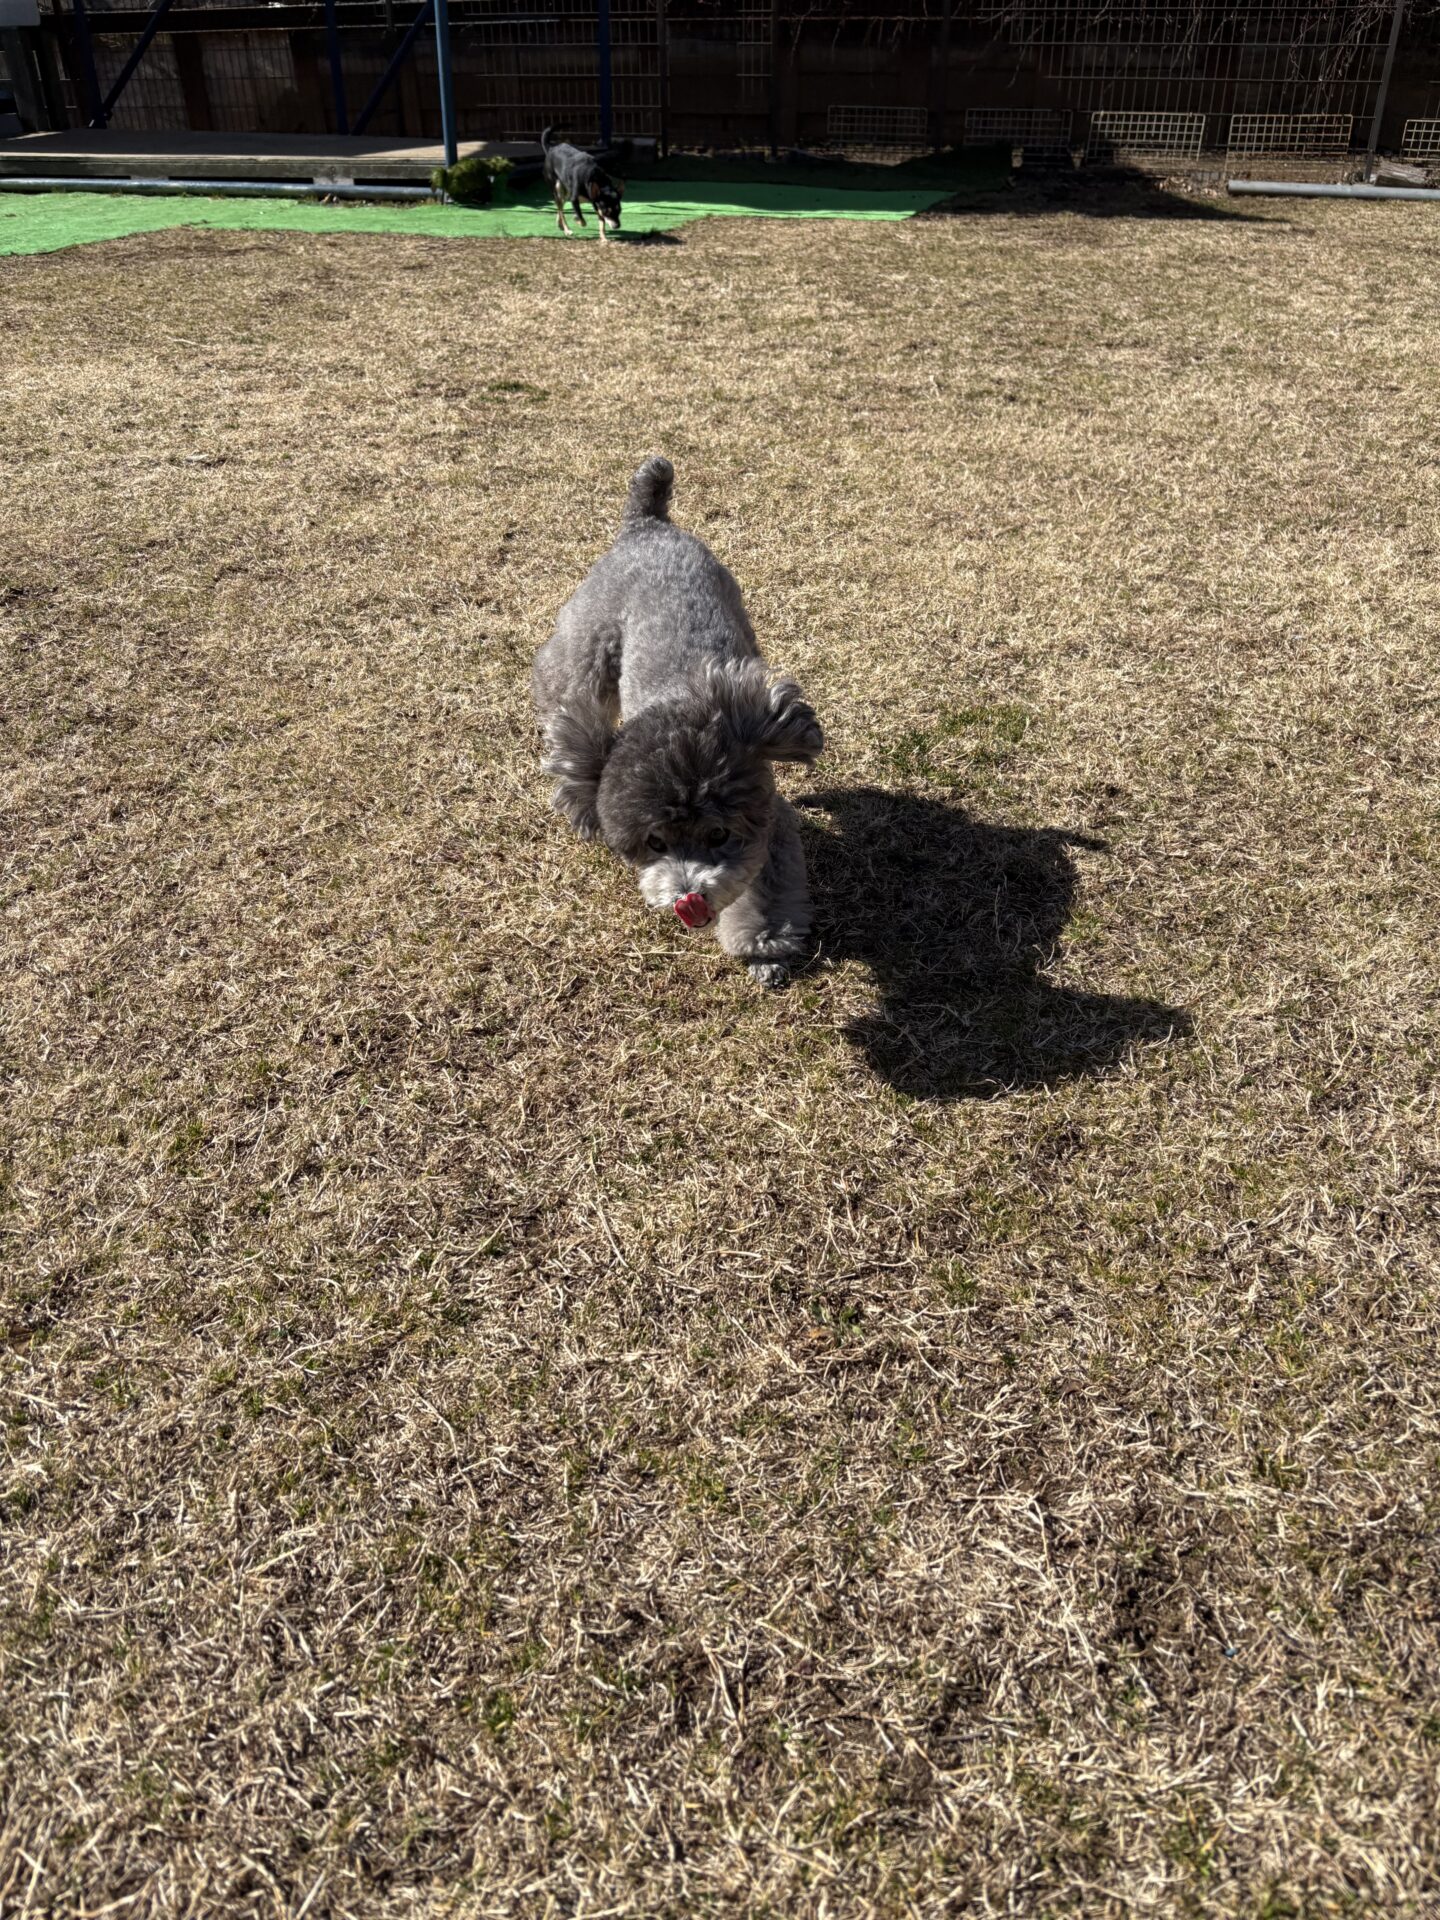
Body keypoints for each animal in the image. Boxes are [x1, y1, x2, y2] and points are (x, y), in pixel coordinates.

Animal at [532, 457, 824, 987]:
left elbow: (768, 893)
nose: (688, 897)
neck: (679, 704)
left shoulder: (770, 826)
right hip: (588, 641)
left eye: (718, 834)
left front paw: (765, 949)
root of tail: (648, 524)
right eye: (655, 842)